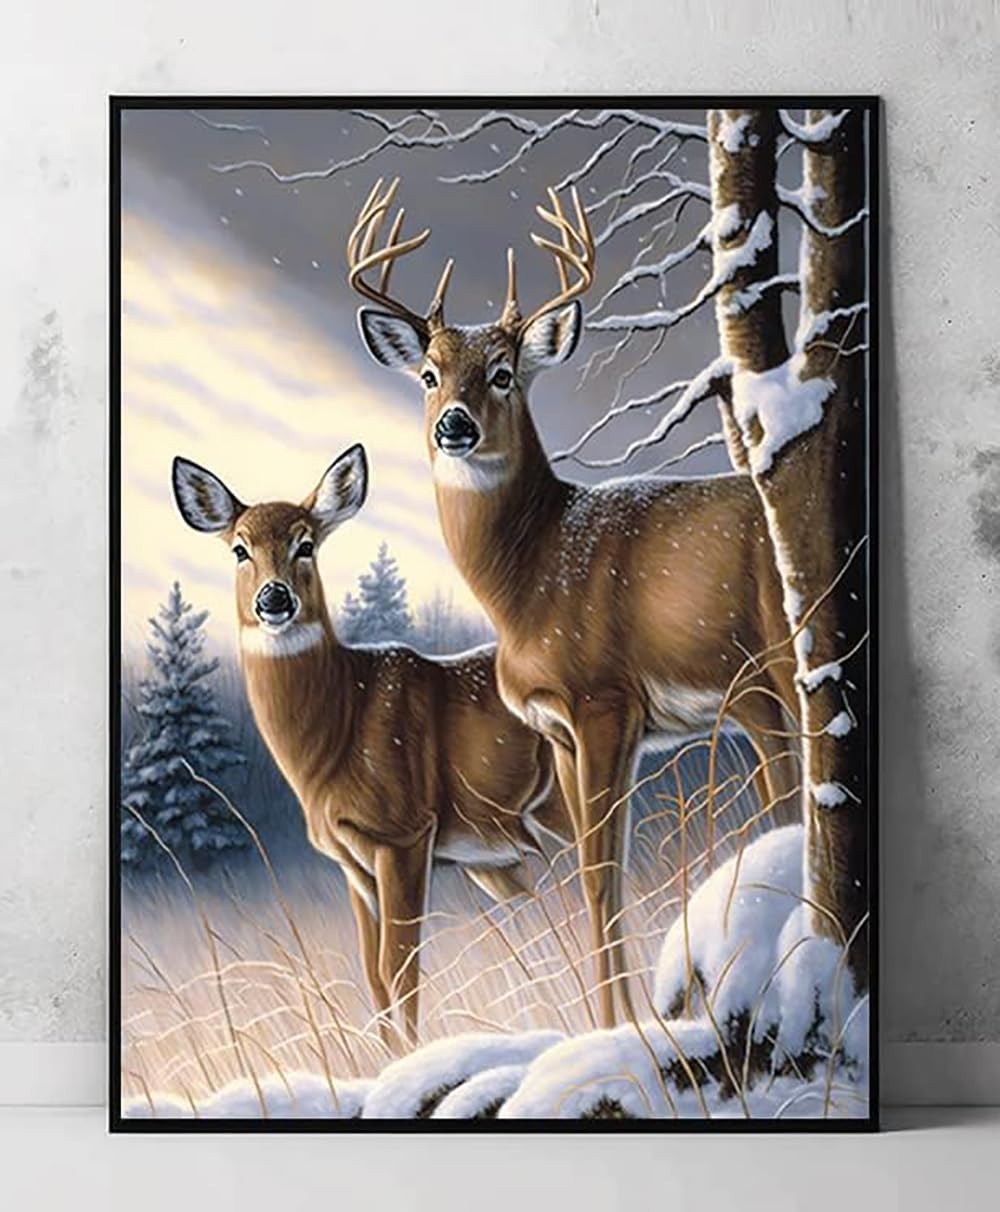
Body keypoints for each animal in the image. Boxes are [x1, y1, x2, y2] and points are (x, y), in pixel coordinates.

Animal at [172, 445, 570, 1046]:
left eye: (306, 543)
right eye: (240, 549)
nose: (274, 598)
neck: (337, 734)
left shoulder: (404, 831)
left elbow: (398, 968)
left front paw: (409, 1055)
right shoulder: (351, 861)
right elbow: (373, 975)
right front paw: (387, 1055)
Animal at [348, 178, 802, 1028]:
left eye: (503, 372)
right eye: (428, 373)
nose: (454, 426)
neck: (531, 576)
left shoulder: (604, 699)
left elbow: (599, 876)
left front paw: (618, 1026)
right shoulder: (558, 727)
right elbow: (602, 873)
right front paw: (614, 1019)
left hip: (782, 663)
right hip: (756, 694)